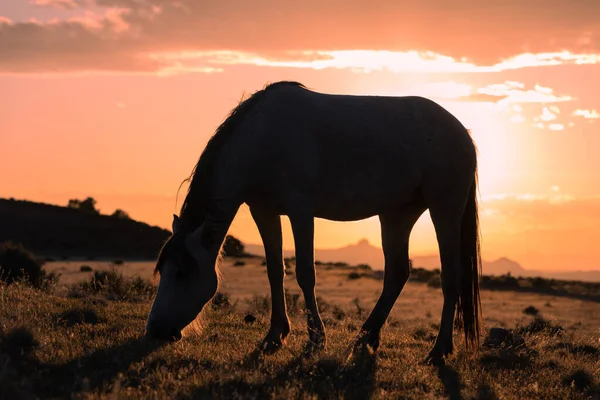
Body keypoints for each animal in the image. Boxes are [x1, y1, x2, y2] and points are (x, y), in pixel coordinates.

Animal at [146, 80, 482, 362]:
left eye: (181, 273)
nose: (155, 330)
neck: (264, 138)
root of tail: (462, 133)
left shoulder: (301, 212)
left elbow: (305, 273)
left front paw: (315, 339)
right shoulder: (263, 212)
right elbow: (275, 271)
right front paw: (274, 336)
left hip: (444, 210)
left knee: (450, 277)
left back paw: (438, 350)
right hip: (397, 214)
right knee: (397, 274)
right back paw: (366, 338)